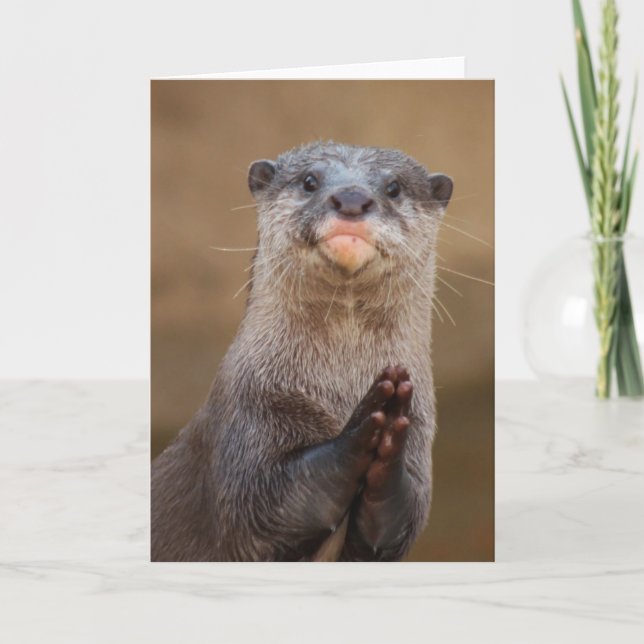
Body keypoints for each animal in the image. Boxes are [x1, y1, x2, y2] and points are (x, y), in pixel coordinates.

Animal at [151, 141, 453, 561]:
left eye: (394, 188)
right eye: (310, 181)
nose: (351, 199)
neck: (338, 390)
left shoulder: (421, 436)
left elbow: (393, 525)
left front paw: (388, 440)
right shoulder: (250, 412)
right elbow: (261, 503)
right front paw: (367, 420)